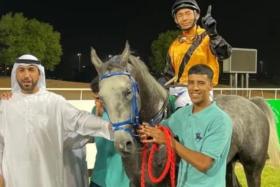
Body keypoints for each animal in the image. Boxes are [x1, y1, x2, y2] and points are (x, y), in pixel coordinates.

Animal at [91, 42, 278, 187]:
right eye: (101, 97)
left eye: (128, 92)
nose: (123, 143)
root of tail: (252, 103)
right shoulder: (136, 182)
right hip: (226, 165)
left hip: (253, 167)